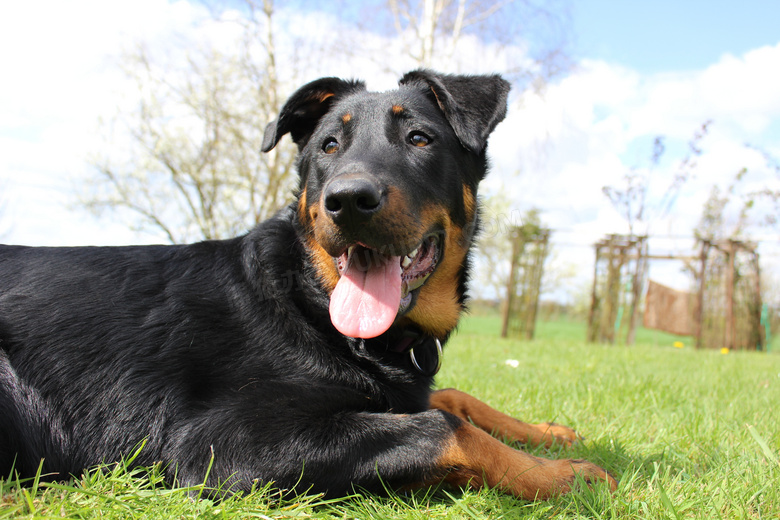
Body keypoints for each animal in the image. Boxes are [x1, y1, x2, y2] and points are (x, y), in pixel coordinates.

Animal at [0, 70, 616, 500]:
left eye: (420, 138)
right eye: (328, 146)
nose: (348, 199)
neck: (311, 302)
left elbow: (451, 399)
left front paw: (547, 432)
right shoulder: (221, 444)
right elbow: (442, 425)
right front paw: (572, 476)